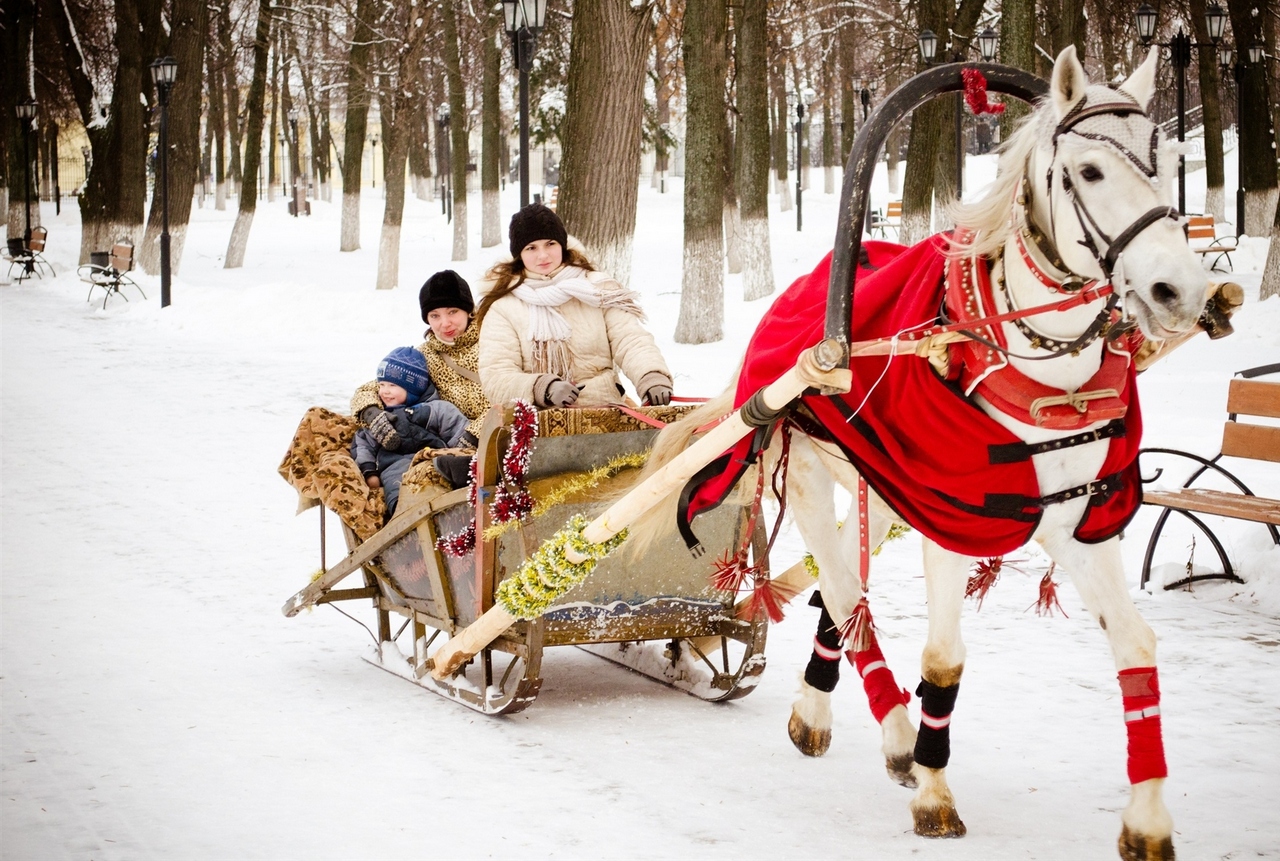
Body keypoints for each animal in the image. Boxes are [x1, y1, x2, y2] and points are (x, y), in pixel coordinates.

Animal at [632, 48, 1208, 859]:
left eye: (1171, 163)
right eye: (1089, 171)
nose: (1179, 290)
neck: (1042, 380)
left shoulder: (1077, 526)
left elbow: (1136, 644)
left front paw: (1148, 819)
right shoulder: (950, 524)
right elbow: (942, 659)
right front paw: (935, 787)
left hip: (877, 488)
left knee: (841, 593)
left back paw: (821, 709)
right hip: (810, 478)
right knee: (848, 595)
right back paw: (898, 733)